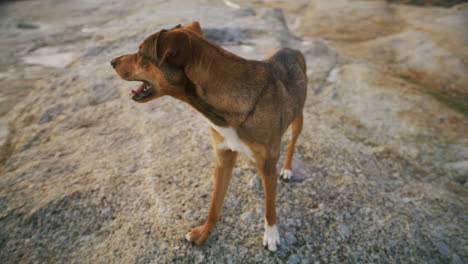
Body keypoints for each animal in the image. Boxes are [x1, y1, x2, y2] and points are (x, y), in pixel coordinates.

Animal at [110, 21, 308, 251]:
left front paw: (271, 235)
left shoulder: (267, 165)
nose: (112, 61)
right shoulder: (223, 158)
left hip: (298, 118)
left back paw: (287, 169)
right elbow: (215, 204)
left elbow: (269, 207)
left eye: (141, 52)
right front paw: (203, 233)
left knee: (292, 143)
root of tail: (289, 48)